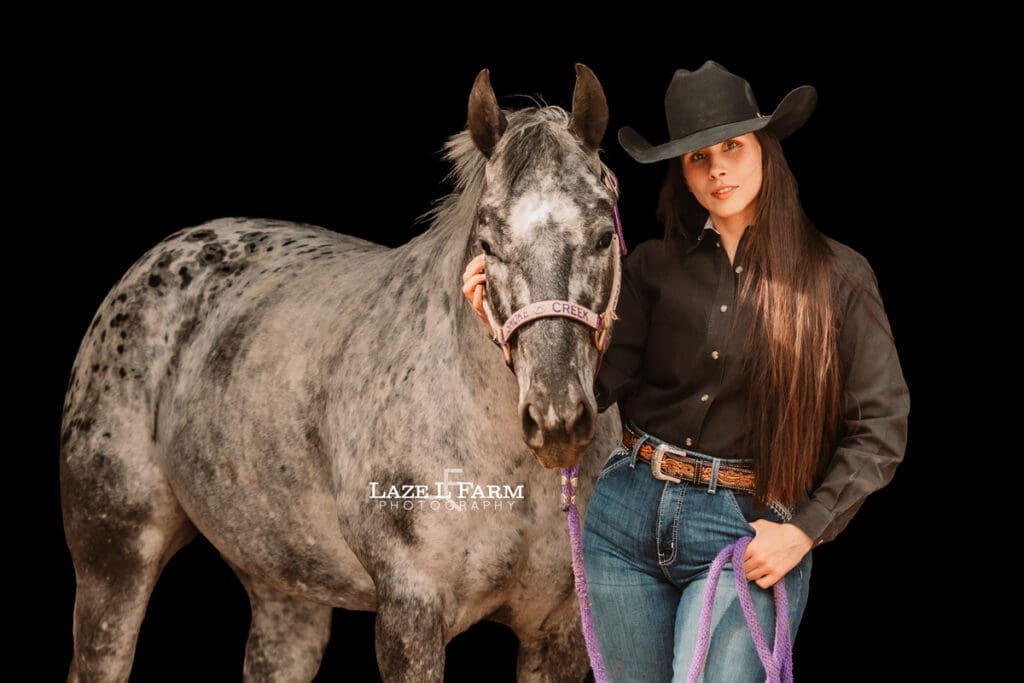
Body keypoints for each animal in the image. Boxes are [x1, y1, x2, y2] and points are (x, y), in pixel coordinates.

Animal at [60, 64, 625, 682]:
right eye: (487, 243)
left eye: (604, 235)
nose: (556, 419)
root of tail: (156, 260)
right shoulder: (410, 614)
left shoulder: (560, 631)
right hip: (114, 562)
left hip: (284, 590)